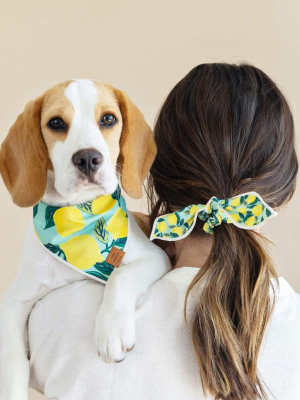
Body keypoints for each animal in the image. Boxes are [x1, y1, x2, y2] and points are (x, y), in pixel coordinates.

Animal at [0, 79, 170, 400]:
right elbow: (12, 364)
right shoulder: (14, 299)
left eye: (108, 119)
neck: (79, 217)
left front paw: (111, 330)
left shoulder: (154, 257)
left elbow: (120, 276)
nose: (88, 158)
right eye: (56, 123)